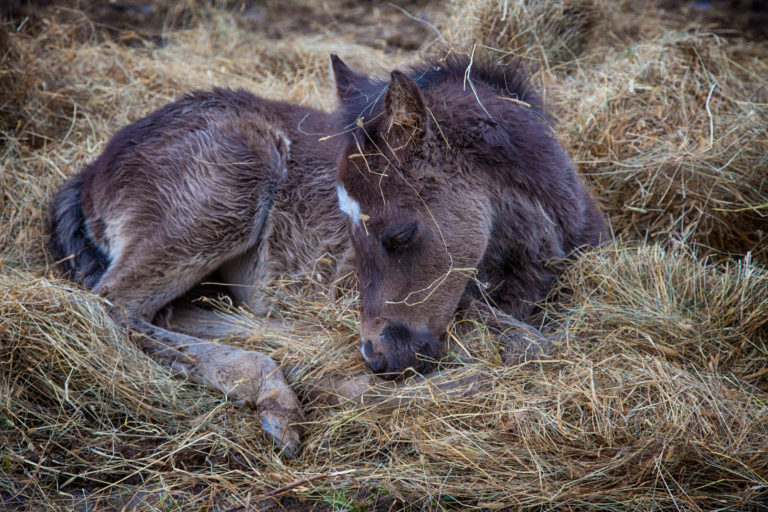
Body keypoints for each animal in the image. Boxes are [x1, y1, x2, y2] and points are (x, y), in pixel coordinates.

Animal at [48, 53, 606, 457]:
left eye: (400, 233)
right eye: (347, 230)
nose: (378, 356)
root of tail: (93, 171)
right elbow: (530, 348)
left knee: (171, 310)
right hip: (221, 196)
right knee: (111, 305)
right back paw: (281, 392)